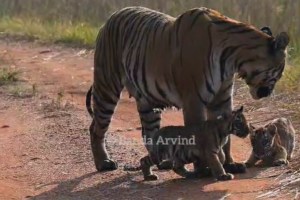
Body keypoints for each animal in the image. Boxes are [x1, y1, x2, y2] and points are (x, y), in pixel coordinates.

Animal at [86, 6, 288, 172]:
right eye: (280, 71)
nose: (269, 93)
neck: (233, 58)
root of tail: (111, 16)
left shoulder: (222, 99)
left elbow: (227, 138)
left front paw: (230, 164)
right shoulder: (193, 99)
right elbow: (198, 133)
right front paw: (204, 169)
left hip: (147, 102)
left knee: (149, 133)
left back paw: (162, 162)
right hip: (107, 87)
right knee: (96, 128)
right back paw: (104, 163)